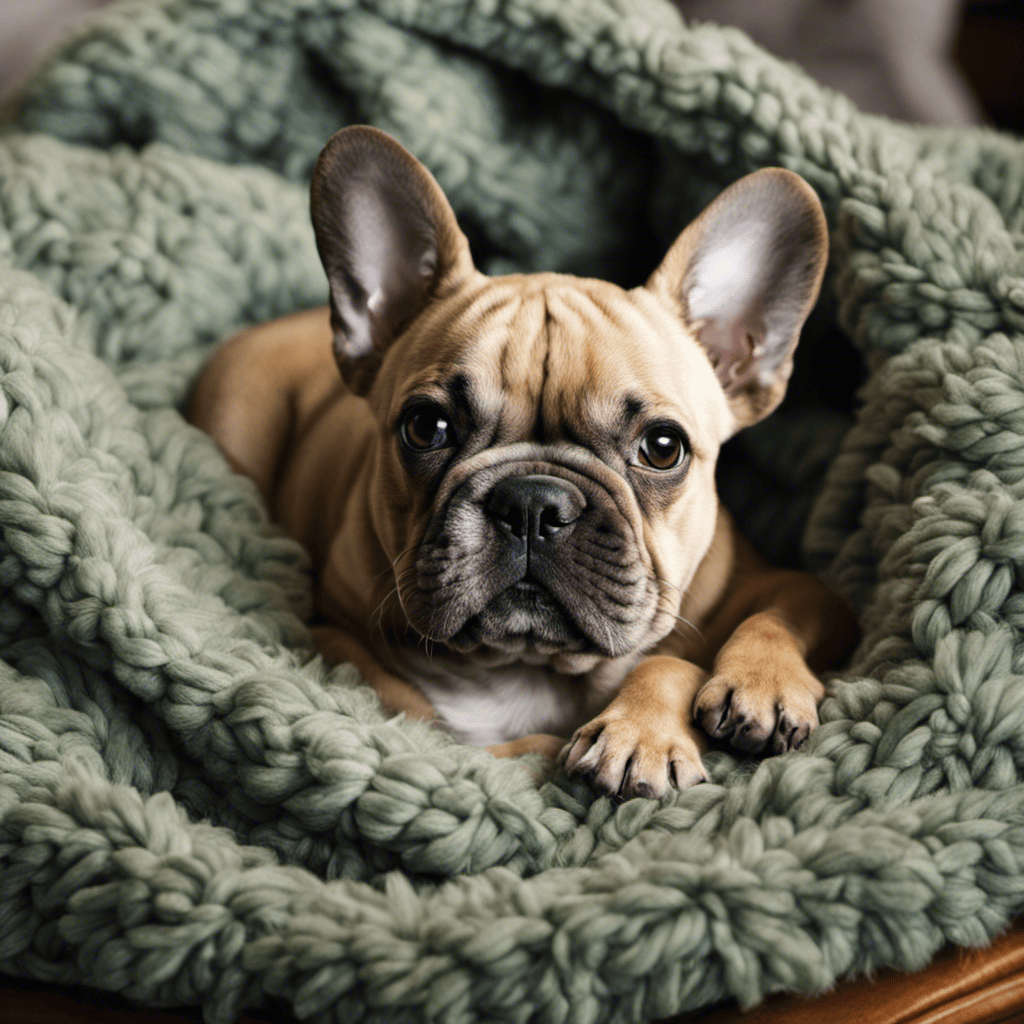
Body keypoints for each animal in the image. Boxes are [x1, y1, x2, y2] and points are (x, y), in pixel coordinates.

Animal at [188, 125, 860, 798]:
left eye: (663, 447)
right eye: (425, 427)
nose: (533, 503)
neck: (531, 663)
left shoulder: (786, 587)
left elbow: (767, 615)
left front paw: (717, 702)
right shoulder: (332, 632)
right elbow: (418, 715)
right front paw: (553, 745)